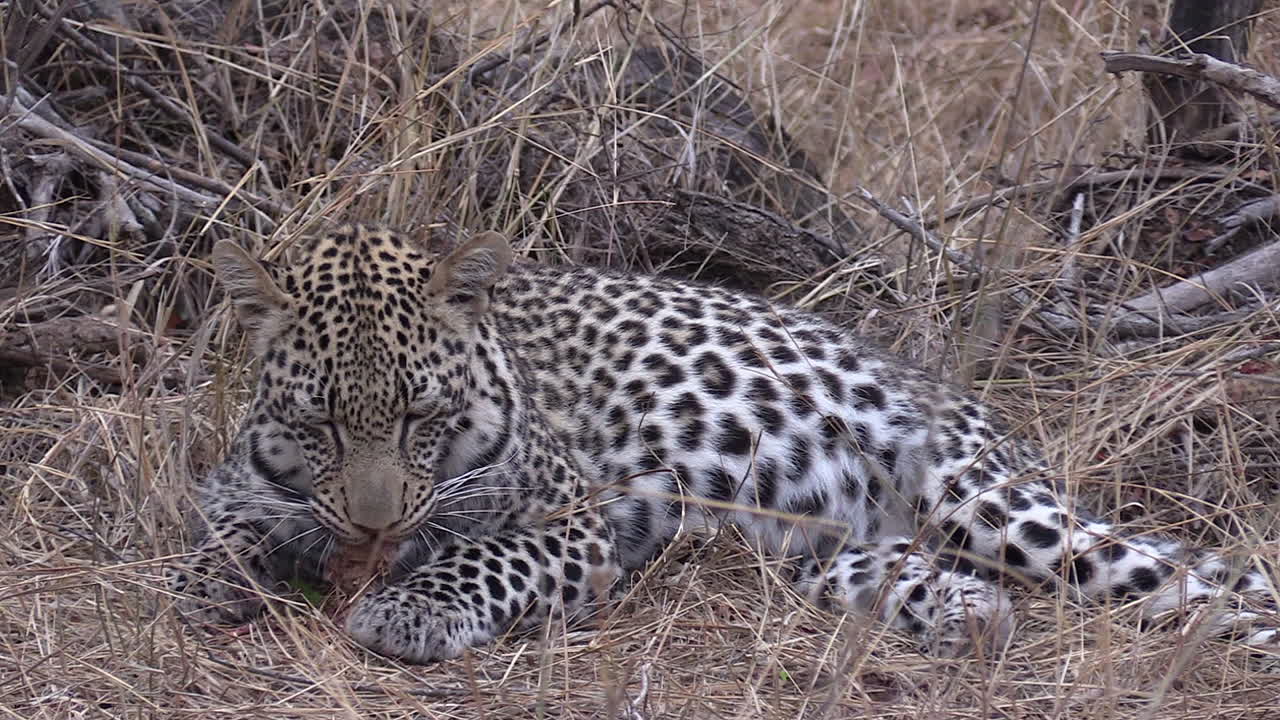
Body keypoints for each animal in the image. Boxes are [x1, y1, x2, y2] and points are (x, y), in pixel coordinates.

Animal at [168, 224, 1279, 664]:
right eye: (319, 424)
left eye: (420, 417)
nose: (374, 525)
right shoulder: (235, 489)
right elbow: (213, 536)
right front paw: (211, 585)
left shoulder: (575, 517)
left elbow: (486, 553)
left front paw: (405, 608)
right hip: (829, 548)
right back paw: (962, 613)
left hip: (990, 501)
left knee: (1212, 580)